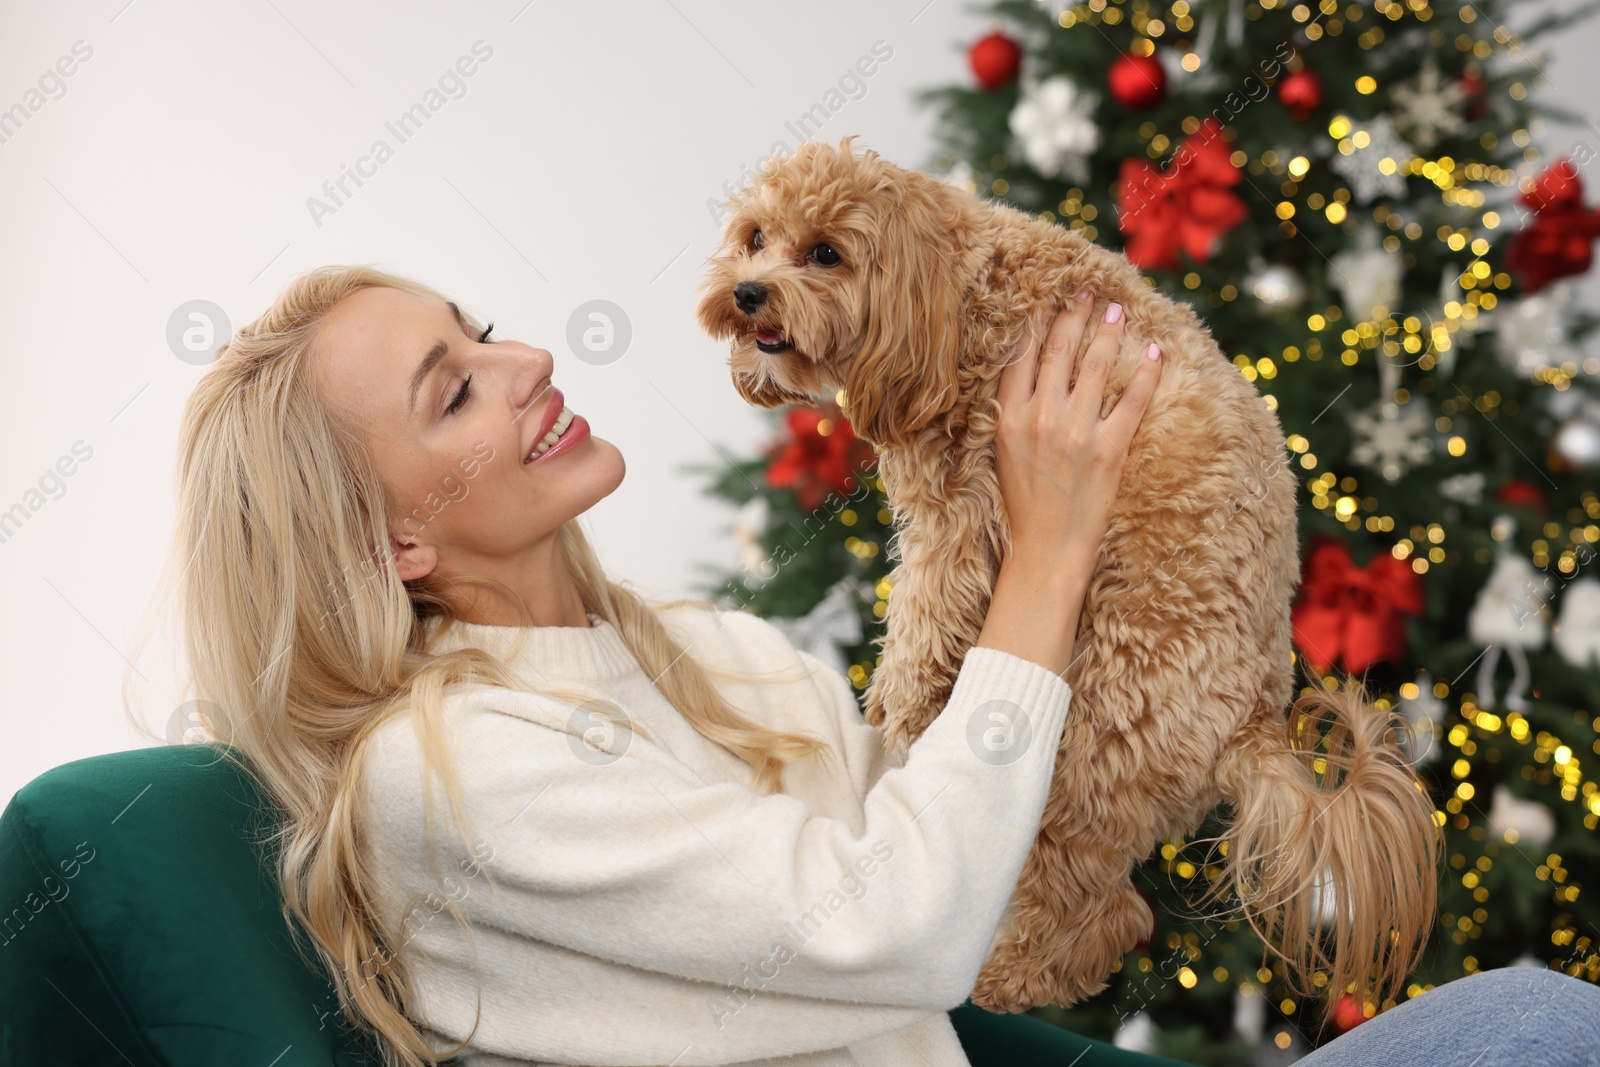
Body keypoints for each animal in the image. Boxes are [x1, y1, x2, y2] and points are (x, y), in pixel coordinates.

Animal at [694, 133, 1446, 1023]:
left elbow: (923, 611)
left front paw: (897, 704)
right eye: (755, 238)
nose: (747, 293)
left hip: (1096, 729)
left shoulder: (964, 509)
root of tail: (1252, 721)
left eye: (825, 254)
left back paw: (1014, 977)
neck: (960, 286)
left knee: (1103, 908)